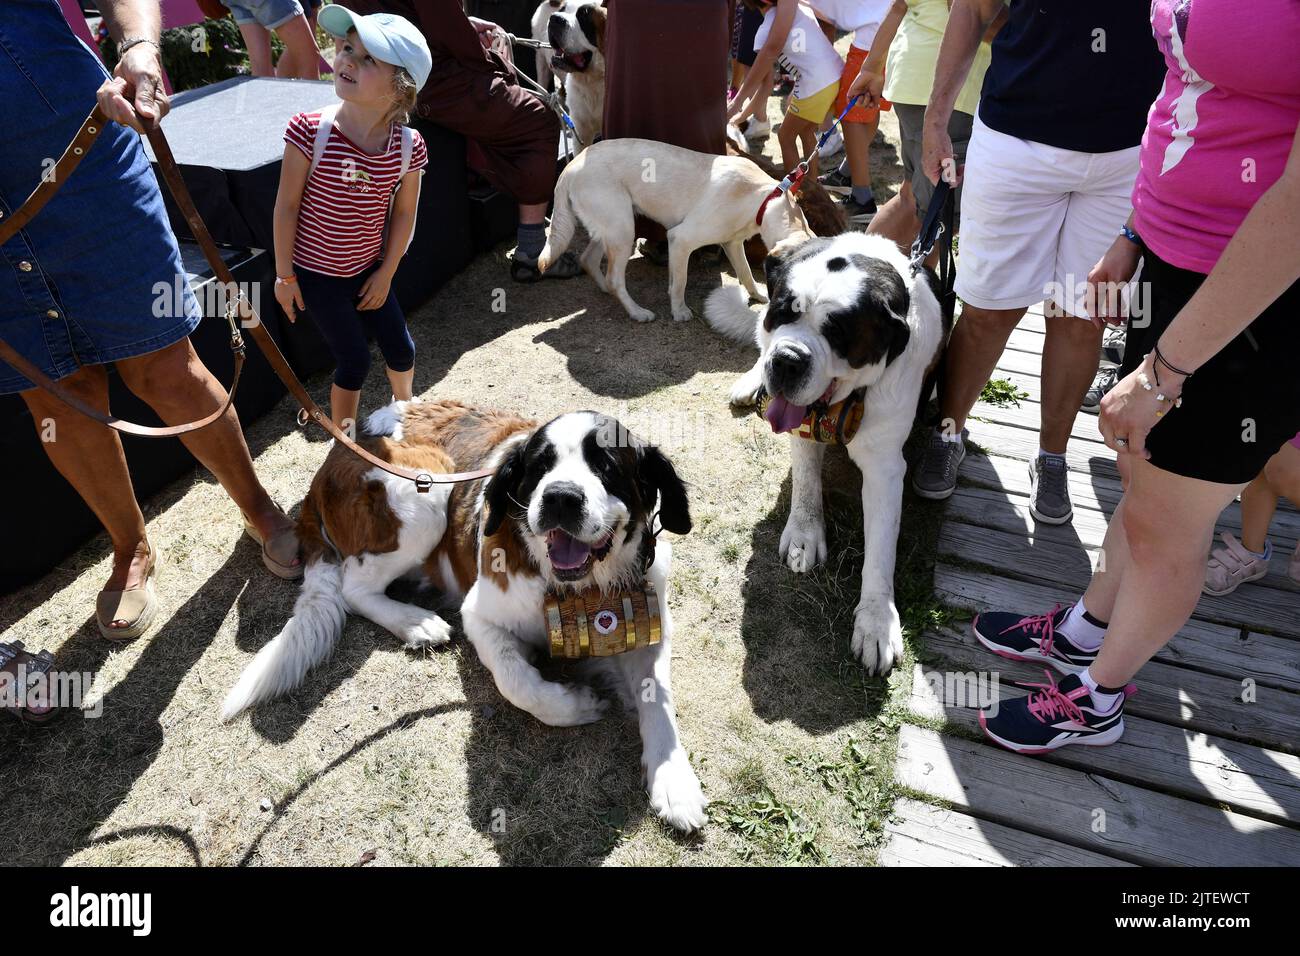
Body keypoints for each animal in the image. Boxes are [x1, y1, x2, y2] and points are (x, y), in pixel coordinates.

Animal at [226, 395, 712, 832]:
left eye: (607, 466)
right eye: (540, 467)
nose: (560, 497)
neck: (573, 588)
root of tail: (339, 448)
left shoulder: (643, 616)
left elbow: (656, 695)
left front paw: (674, 782)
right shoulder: (479, 614)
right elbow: (517, 682)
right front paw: (576, 704)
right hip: (424, 490)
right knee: (353, 588)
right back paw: (416, 623)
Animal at [538, 138, 811, 323]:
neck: (765, 198)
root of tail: (569, 167)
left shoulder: (732, 244)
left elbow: (745, 274)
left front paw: (758, 295)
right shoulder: (680, 239)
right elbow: (681, 281)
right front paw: (679, 311)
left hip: (612, 227)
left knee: (589, 260)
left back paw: (606, 289)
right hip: (623, 230)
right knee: (615, 278)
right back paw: (637, 312)